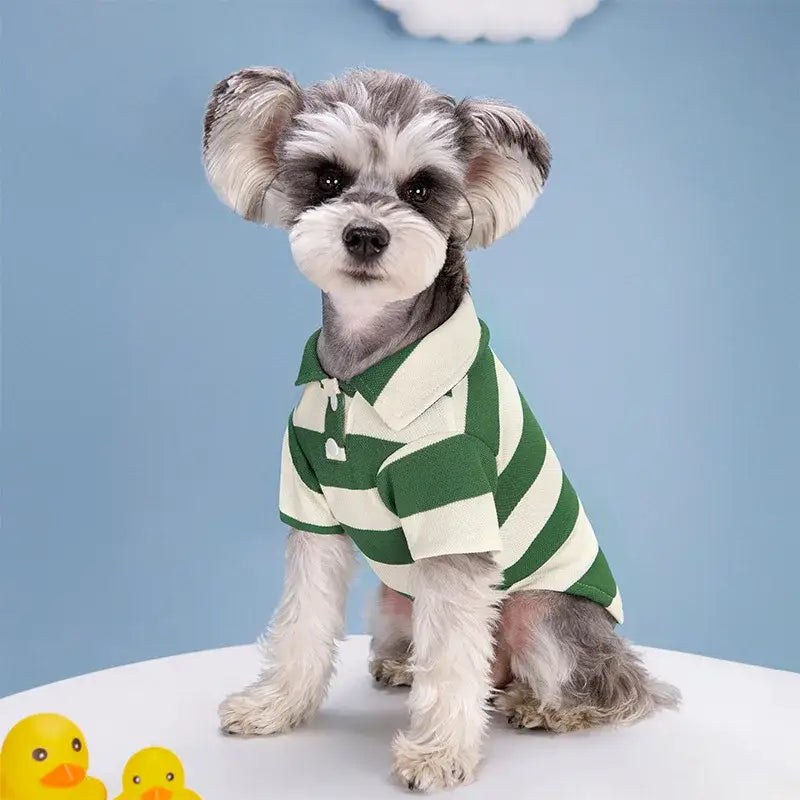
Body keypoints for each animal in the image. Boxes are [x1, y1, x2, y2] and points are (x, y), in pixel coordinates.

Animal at [203, 69, 680, 792]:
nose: (366, 235)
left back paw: (546, 707)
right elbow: (302, 620)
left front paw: (437, 755)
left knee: (610, 686)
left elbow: (455, 655)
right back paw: (404, 666)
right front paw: (276, 706)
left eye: (421, 189)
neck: (364, 370)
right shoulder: (311, 511)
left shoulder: (454, 516)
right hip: (393, 600)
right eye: (328, 179)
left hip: (544, 613)